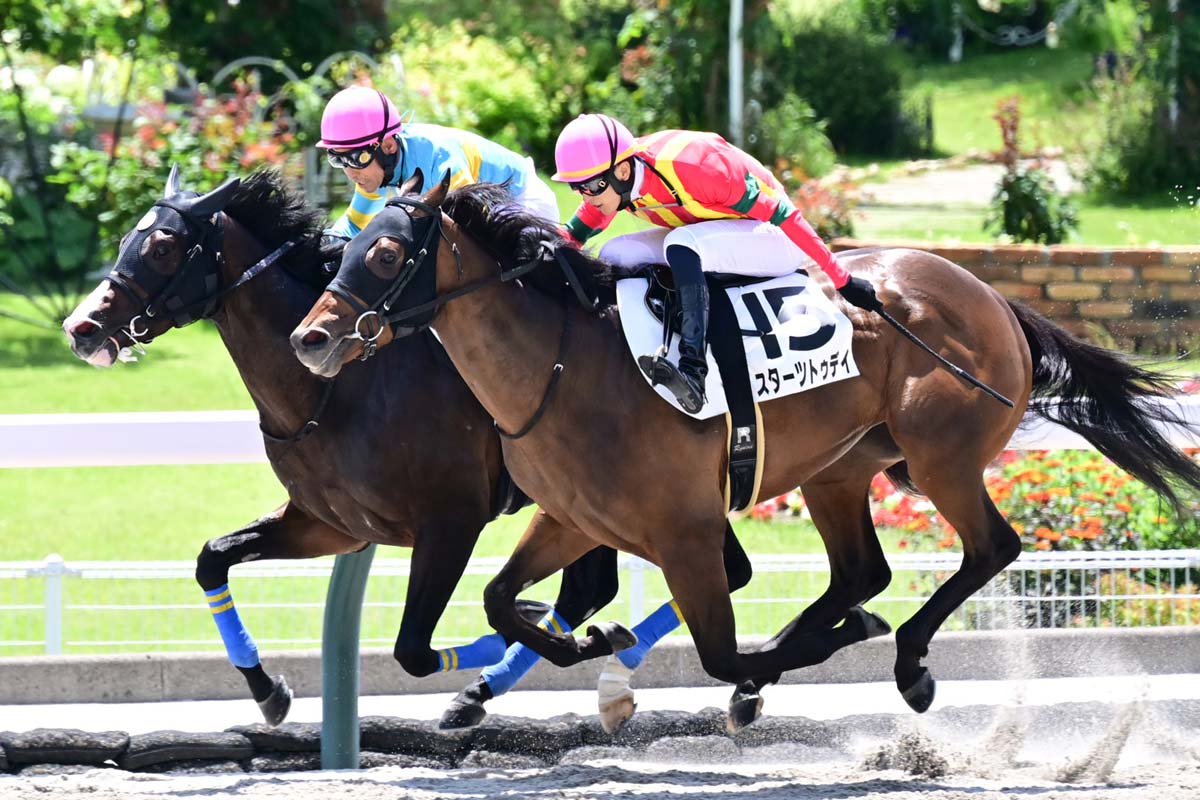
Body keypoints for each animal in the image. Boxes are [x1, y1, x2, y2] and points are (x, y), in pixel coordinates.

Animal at [62, 167, 722, 731]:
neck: (332, 392)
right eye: (126, 239)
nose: (80, 328)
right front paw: (268, 692)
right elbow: (212, 559)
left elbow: (414, 649)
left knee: (603, 587)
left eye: (163, 247)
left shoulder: (451, 520)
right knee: (600, 587)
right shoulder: (332, 525)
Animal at [290, 174, 1200, 721]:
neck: (562, 362)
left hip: (941, 456)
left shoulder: (686, 533)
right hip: (843, 468)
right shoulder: (572, 518)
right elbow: (498, 598)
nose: (311, 339)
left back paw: (908, 659)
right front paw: (583, 644)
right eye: (345, 247)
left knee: (991, 548)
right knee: (862, 571)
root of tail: (992, 297)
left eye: (385, 252)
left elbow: (721, 653)